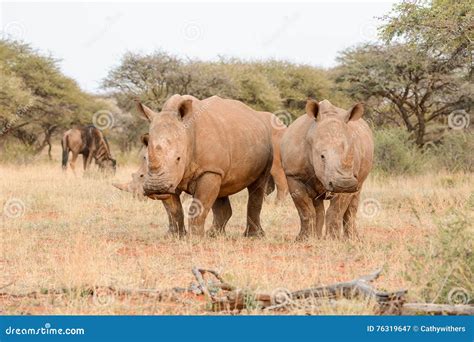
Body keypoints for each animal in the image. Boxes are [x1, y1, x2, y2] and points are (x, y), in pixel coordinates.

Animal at [134, 95, 274, 236]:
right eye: (145, 158)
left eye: (178, 158)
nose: (155, 187)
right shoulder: (171, 177)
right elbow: (173, 209)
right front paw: (175, 236)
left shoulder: (208, 170)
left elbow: (199, 205)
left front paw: (195, 237)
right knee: (221, 189)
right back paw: (214, 235)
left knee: (257, 187)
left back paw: (253, 236)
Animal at [282, 99, 374, 240]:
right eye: (322, 156)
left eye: (352, 156)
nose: (345, 183)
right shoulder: (293, 175)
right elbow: (305, 209)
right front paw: (303, 239)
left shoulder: (349, 179)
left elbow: (336, 211)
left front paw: (333, 239)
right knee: (317, 205)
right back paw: (317, 237)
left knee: (354, 200)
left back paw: (352, 239)